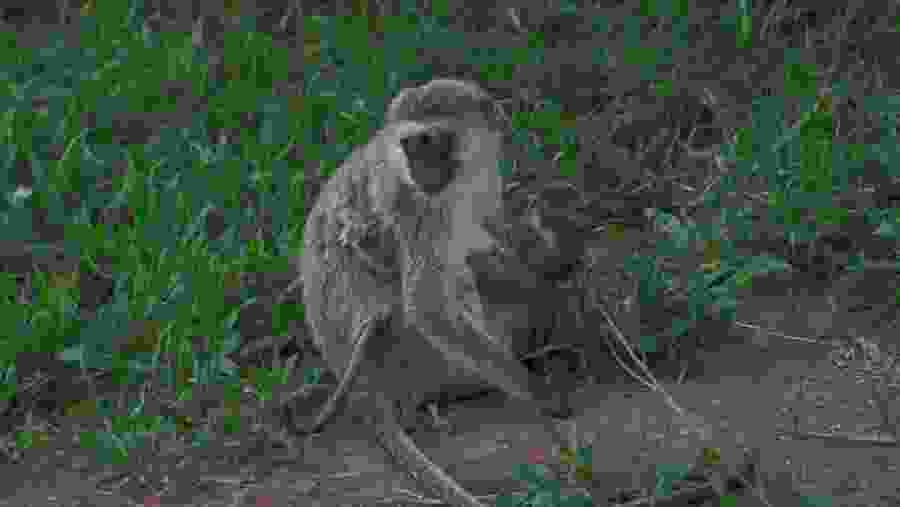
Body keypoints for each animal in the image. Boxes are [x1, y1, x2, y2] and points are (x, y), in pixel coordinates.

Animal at [299, 78, 571, 507]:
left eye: (431, 141)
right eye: (412, 145)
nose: (420, 169)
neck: (460, 177)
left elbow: (488, 230)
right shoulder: (416, 204)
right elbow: (428, 306)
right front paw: (533, 391)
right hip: (413, 359)